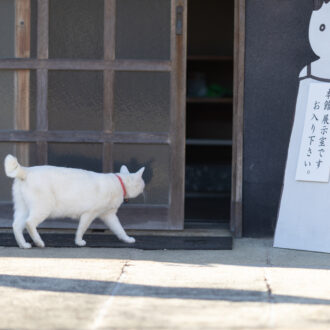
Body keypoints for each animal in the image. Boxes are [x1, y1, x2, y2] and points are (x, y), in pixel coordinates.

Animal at [2, 154, 144, 248]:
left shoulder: (109, 215)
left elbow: (119, 229)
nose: (144, 187)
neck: (119, 183)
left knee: (16, 225)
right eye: (142, 183)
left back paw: (23, 244)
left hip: (23, 209)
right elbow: (81, 229)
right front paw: (79, 241)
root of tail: (27, 170)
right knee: (29, 223)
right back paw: (39, 242)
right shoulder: (89, 214)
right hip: (43, 208)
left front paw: (127, 239)